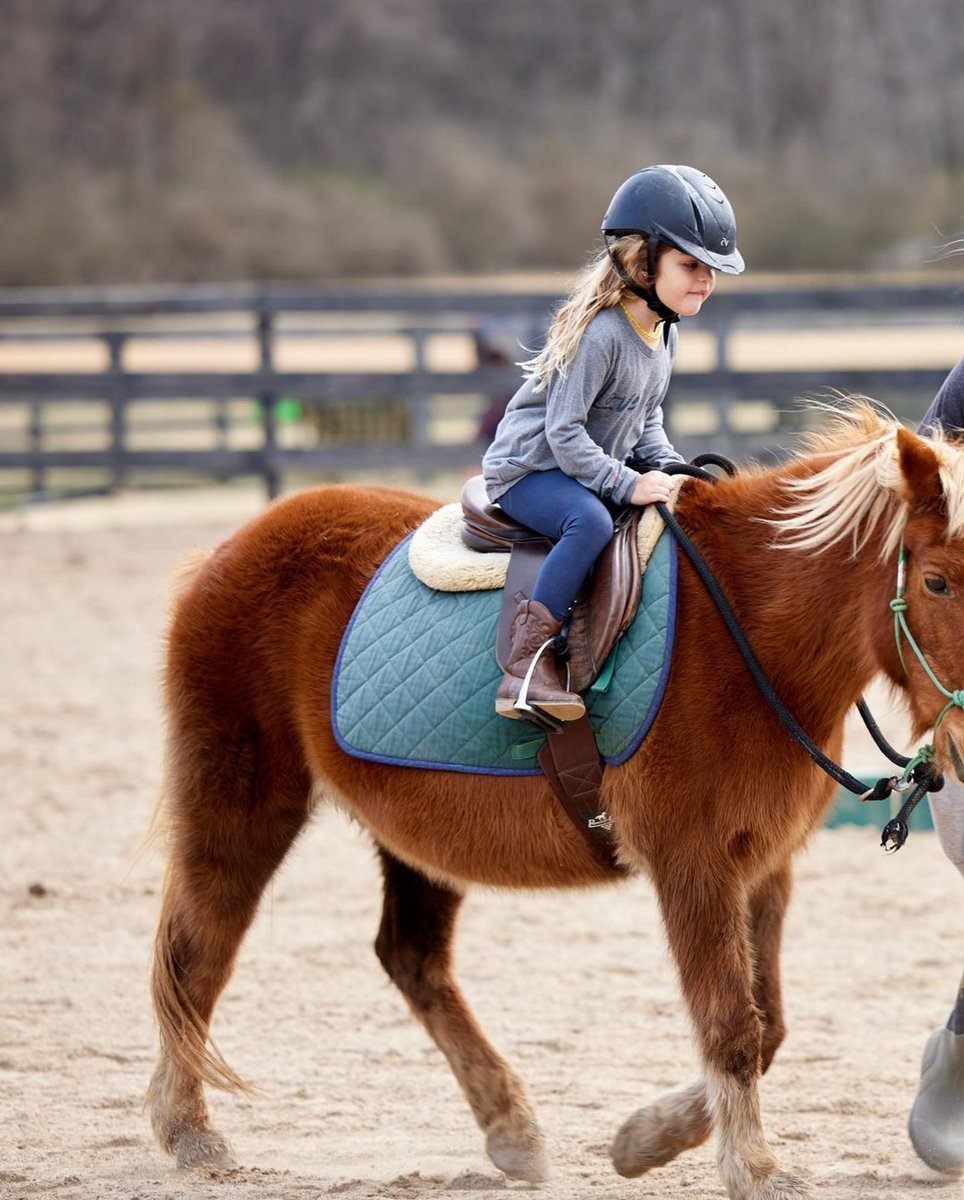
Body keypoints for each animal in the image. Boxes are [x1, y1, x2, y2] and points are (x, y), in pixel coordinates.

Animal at [146, 402, 964, 1200]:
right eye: (936, 583)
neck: (748, 630)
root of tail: (229, 550)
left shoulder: (763, 865)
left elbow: (769, 1028)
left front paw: (646, 1138)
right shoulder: (693, 864)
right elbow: (733, 1025)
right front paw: (752, 1168)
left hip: (419, 831)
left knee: (410, 957)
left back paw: (510, 1129)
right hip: (244, 803)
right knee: (196, 953)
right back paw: (190, 1130)